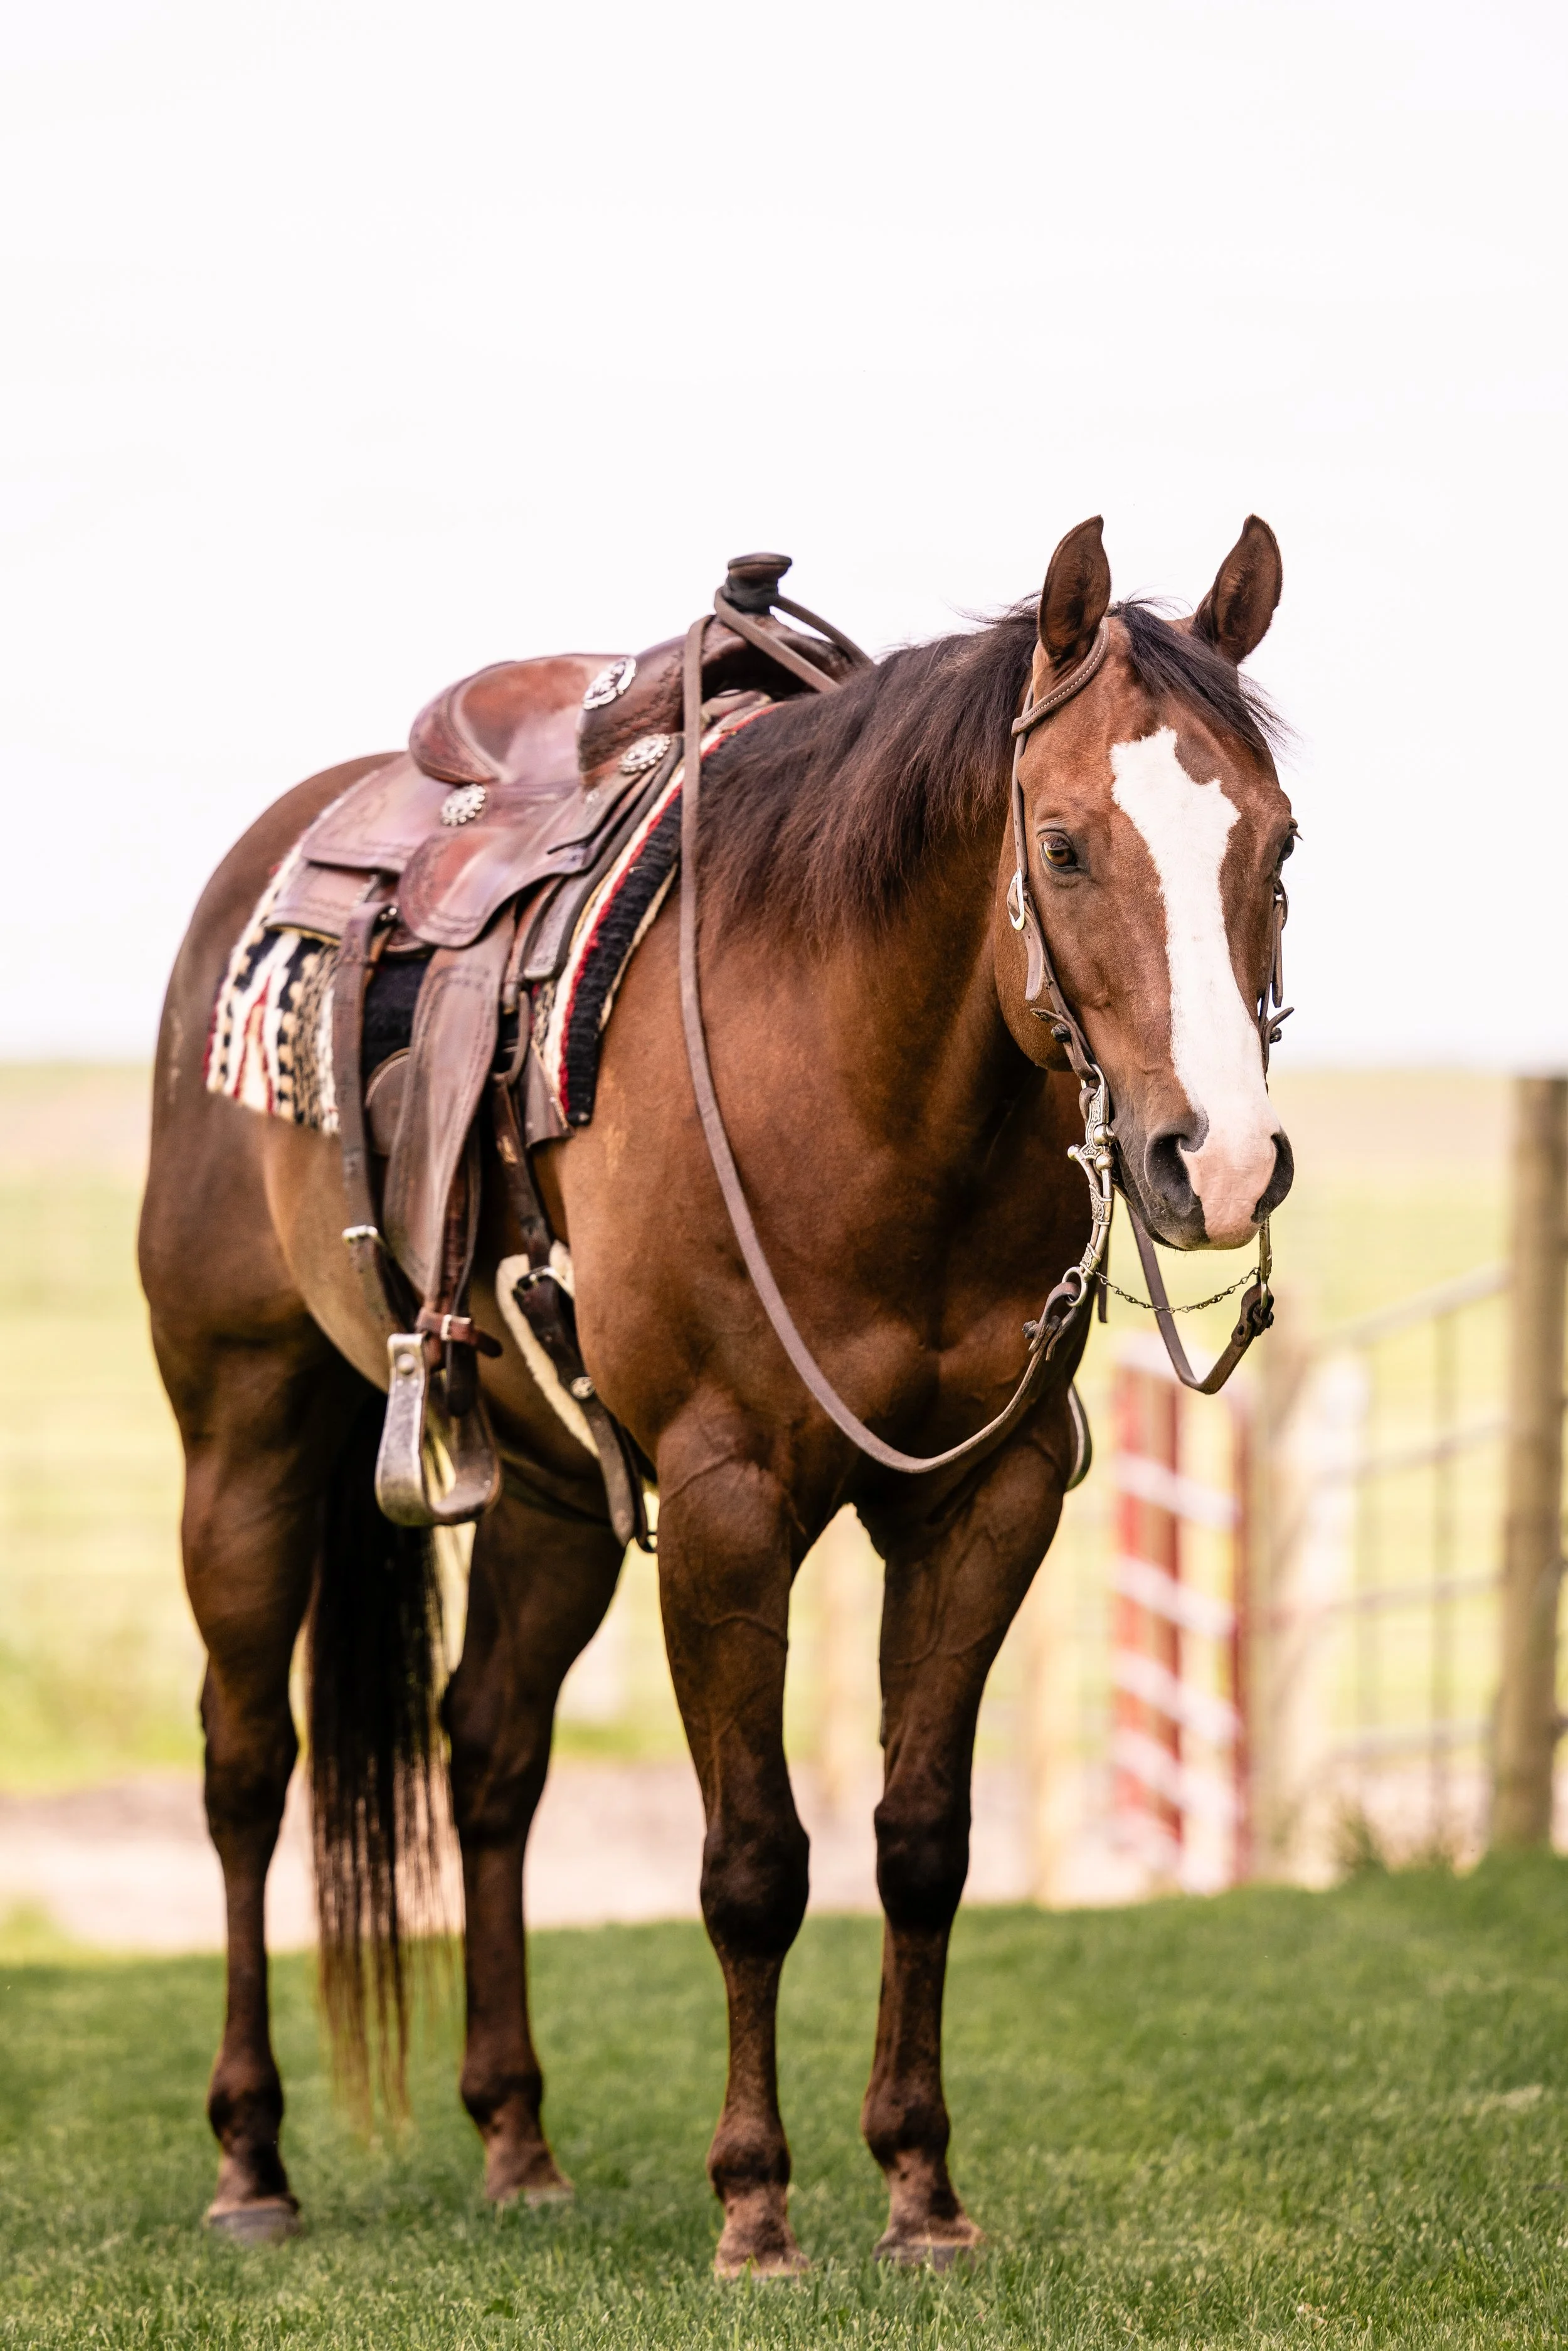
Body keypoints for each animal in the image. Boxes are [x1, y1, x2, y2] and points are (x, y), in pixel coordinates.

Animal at [138, 514, 1295, 2271]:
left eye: (1277, 845)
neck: (867, 1092)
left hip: (549, 1495)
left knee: (490, 1755)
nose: (1212, 1166)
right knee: (244, 1767)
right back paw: (251, 2158)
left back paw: (517, 2138)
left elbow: (921, 1839)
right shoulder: (729, 1499)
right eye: (1068, 846)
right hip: (244, 1431)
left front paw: (920, 2187)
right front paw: (755, 2202)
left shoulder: (987, 1496)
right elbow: (753, 1860)